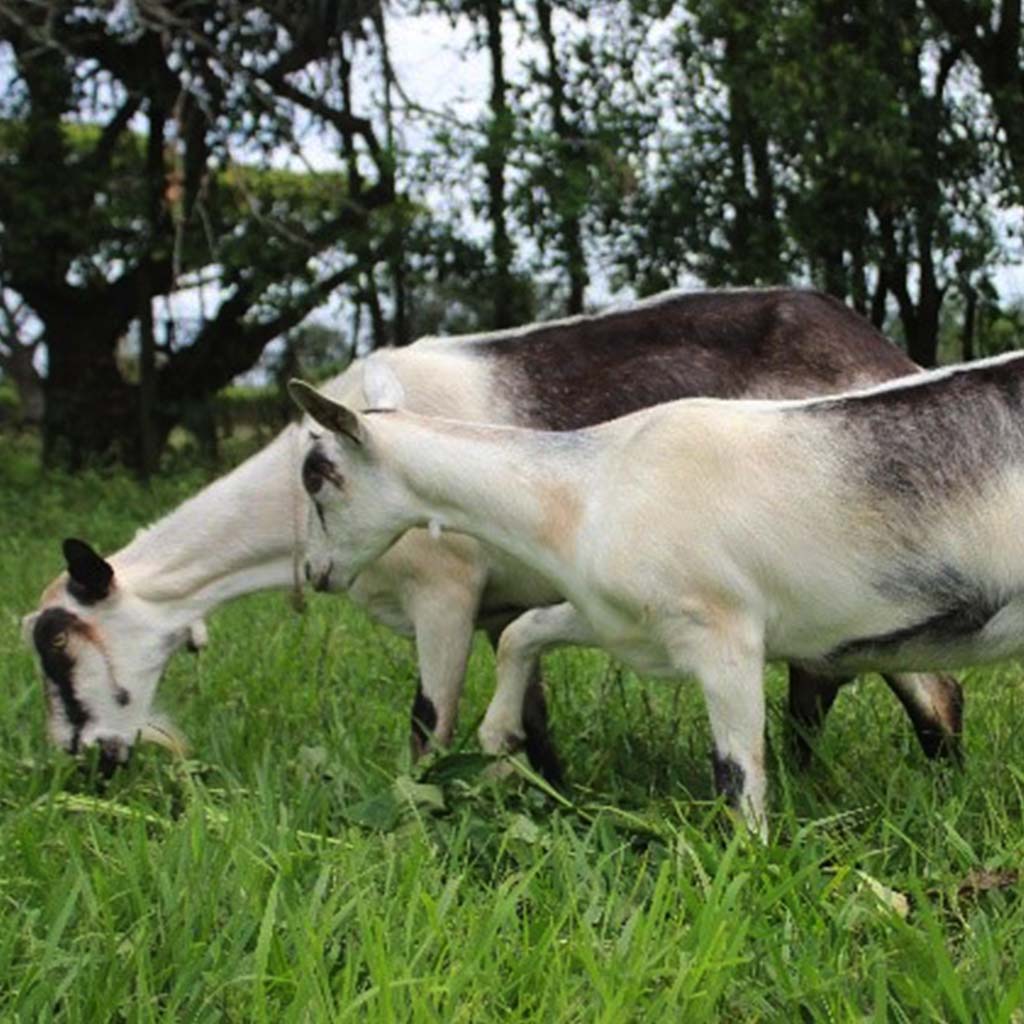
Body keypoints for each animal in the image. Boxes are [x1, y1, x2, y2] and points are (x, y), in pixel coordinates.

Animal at [286, 352, 1024, 831]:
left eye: (317, 473)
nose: (317, 574)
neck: (587, 491)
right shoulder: (626, 623)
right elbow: (525, 632)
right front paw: (499, 741)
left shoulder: (725, 634)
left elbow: (738, 778)